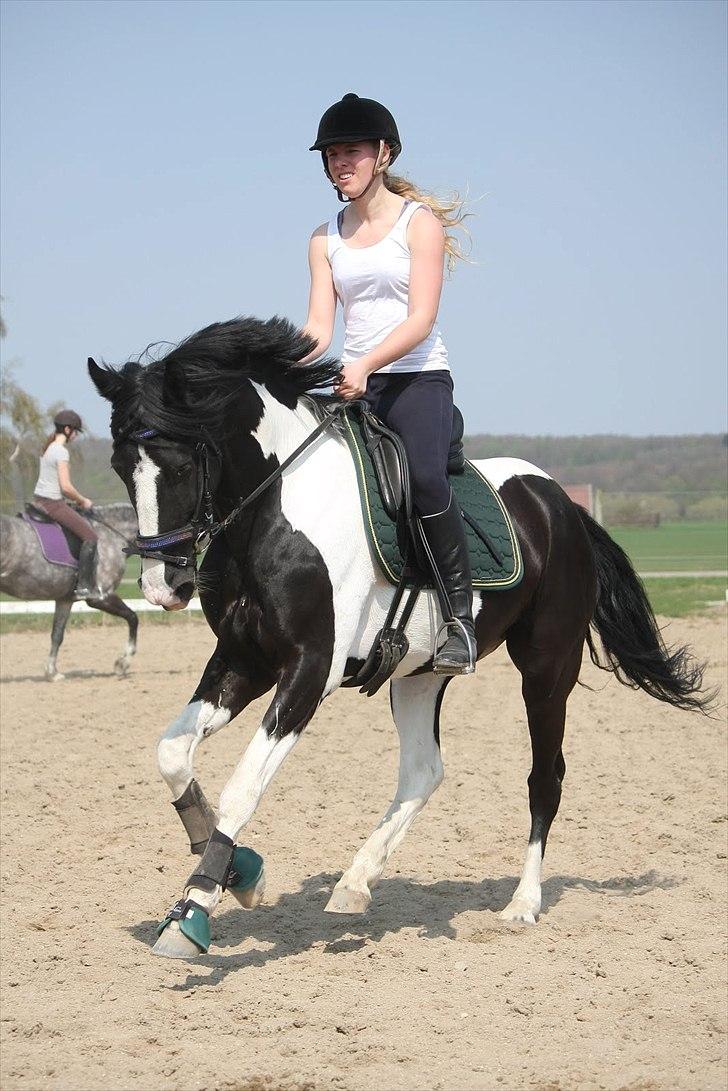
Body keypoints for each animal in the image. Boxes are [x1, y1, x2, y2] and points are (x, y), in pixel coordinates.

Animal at [0, 504, 140, 680]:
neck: (111, 535)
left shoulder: (65, 600)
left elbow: (57, 635)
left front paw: (52, 673)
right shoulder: (101, 597)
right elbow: (132, 618)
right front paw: (122, 663)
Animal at [88, 316, 707, 955]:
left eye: (184, 467)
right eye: (119, 467)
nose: (165, 586)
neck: (277, 511)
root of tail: (560, 503)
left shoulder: (310, 669)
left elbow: (243, 787)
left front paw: (194, 909)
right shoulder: (243, 660)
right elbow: (171, 753)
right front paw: (242, 873)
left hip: (546, 666)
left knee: (545, 776)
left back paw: (522, 904)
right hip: (419, 673)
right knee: (423, 771)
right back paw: (354, 885)